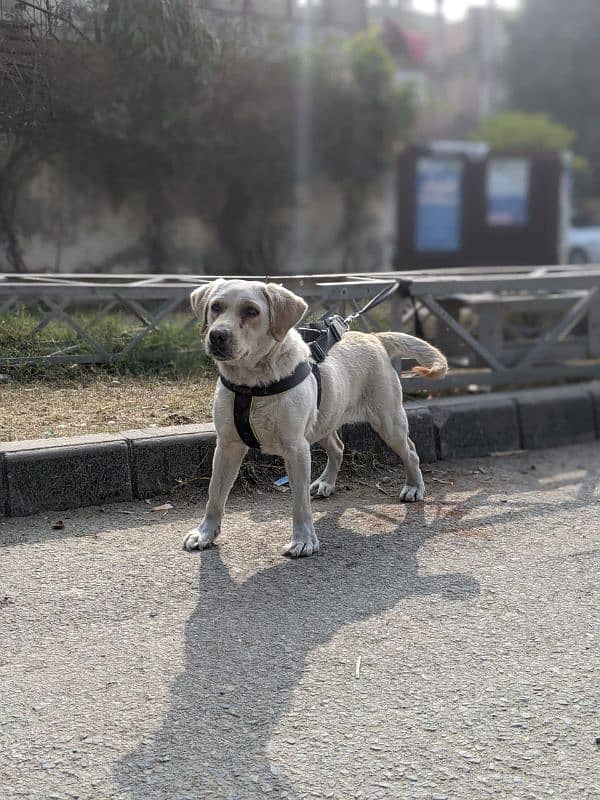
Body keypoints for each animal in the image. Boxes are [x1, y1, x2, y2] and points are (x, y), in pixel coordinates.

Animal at [183, 278, 446, 560]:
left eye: (251, 311)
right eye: (216, 307)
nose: (217, 335)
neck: (252, 385)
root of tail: (373, 337)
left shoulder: (296, 449)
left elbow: (299, 503)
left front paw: (303, 540)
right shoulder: (227, 445)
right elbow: (215, 494)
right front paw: (205, 533)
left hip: (388, 422)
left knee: (411, 450)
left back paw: (414, 486)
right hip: (323, 422)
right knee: (338, 448)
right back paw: (326, 482)